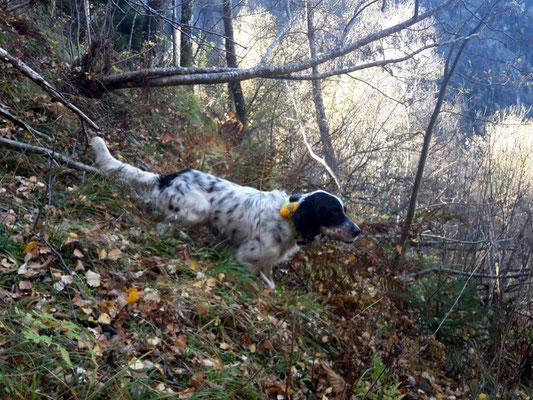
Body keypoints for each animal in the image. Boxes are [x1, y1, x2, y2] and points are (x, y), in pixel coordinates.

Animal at [90, 138, 362, 288]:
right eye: (334, 212)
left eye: (344, 210)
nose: (358, 231)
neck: (288, 217)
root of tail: (168, 176)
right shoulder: (244, 257)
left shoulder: (267, 262)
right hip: (199, 210)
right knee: (162, 225)